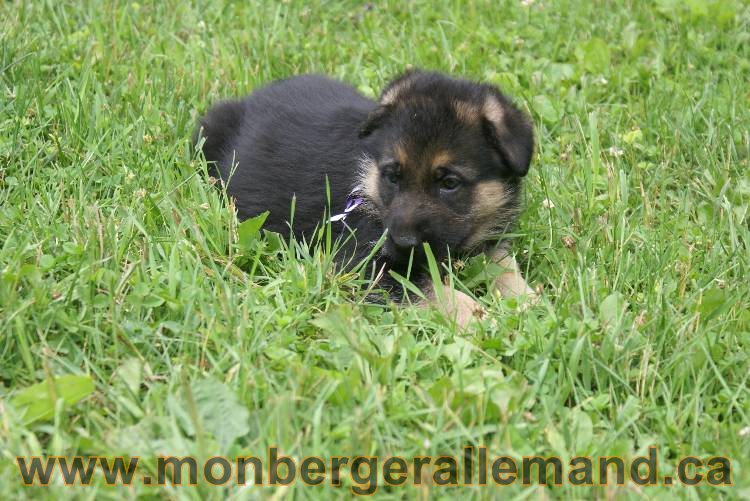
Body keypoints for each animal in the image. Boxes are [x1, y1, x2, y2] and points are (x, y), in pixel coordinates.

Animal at [194, 69, 536, 324]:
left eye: (450, 183)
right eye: (392, 177)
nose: (402, 244)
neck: (368, 183)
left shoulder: (487, 242)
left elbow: (506, 267)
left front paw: (529, 302)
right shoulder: (364, 263)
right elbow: (437, 292)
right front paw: (487, 321)